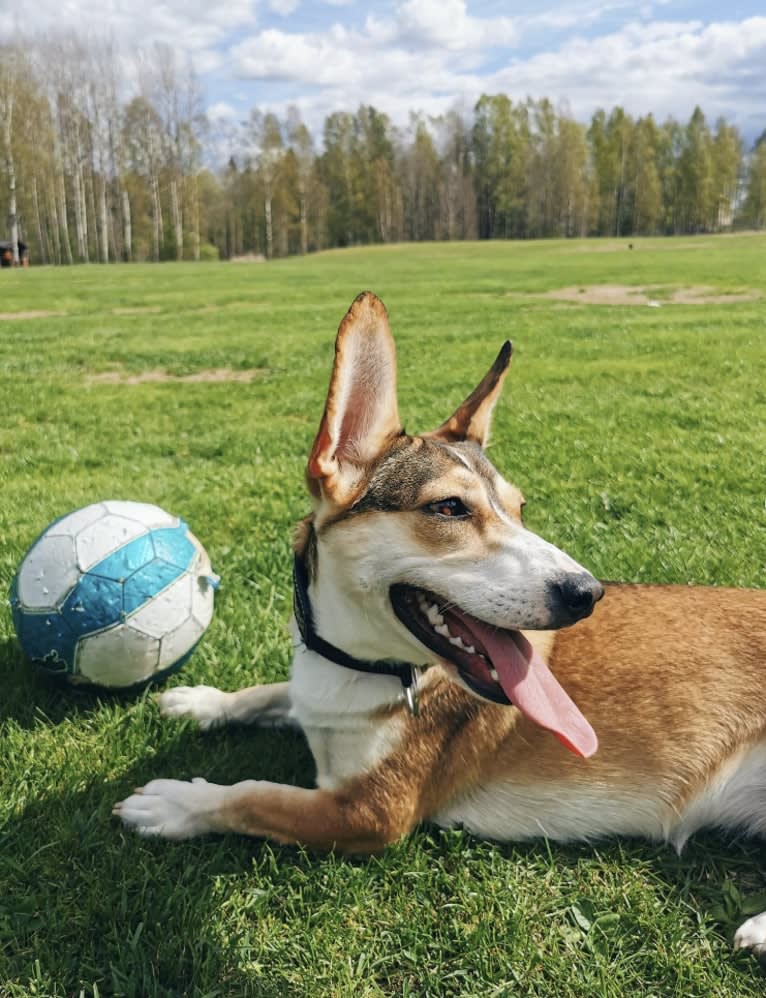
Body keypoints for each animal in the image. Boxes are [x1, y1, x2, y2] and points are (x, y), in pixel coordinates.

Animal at [114, 292, 766, 960]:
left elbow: (256, 795)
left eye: (520, 509)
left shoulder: (371, 813)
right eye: (449, 507)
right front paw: (202, 700)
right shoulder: (312, 695)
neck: (363, 668)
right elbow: (271, 692)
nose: (588, 594)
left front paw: (179, 801)